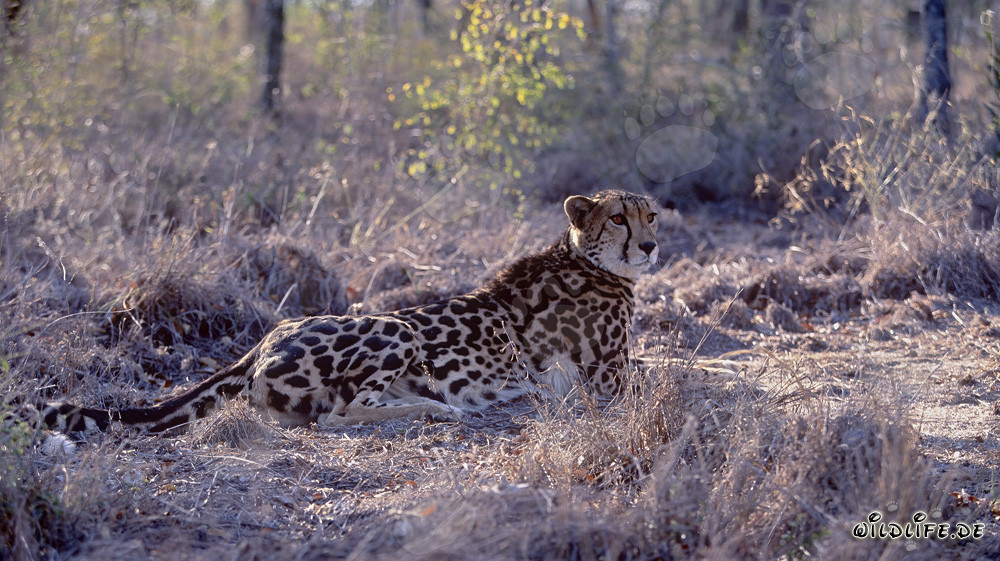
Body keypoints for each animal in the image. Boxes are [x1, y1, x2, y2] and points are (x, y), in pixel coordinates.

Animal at [39, 189, 659, 434]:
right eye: (619, 218)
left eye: (650, 215)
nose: (652, 247)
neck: (585, 257)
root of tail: (265, 338)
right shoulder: (606, 378)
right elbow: (670, 375)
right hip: (396, 326)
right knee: (341, 413)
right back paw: (436, 409)